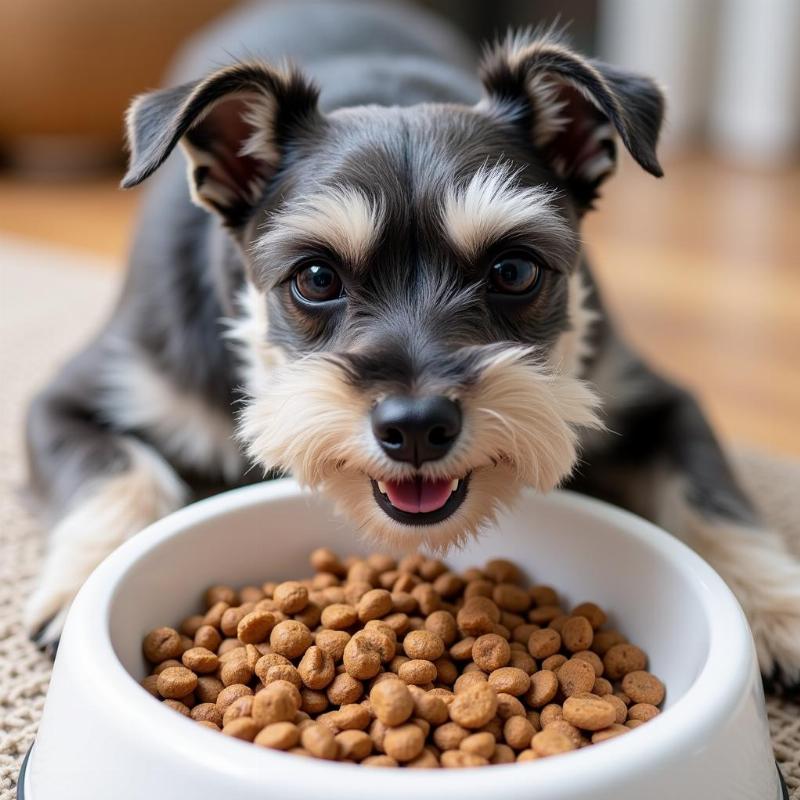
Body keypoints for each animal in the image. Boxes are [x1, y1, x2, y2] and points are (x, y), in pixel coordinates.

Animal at [25, 0, 800, 688]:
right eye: (315, 277)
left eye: (514, 270)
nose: (418, 427)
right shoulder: (70, 398)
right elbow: (121, 471)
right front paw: (84, 584)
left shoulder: (655, 398)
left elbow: (712, 495)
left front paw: (775, 611)